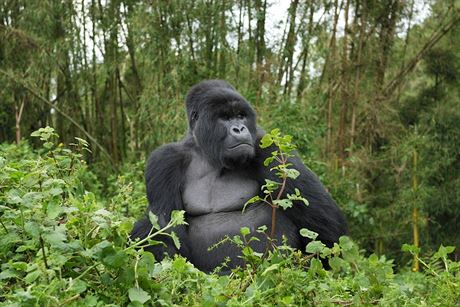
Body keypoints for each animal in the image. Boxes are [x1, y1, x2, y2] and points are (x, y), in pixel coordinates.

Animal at [131, 80, 346, 274]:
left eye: (240, 116)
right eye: (225, 118)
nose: (239, 129)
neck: (208, 154)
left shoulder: (268, 145)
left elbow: (327, 227)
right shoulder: (164, 161)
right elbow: (164, 235)